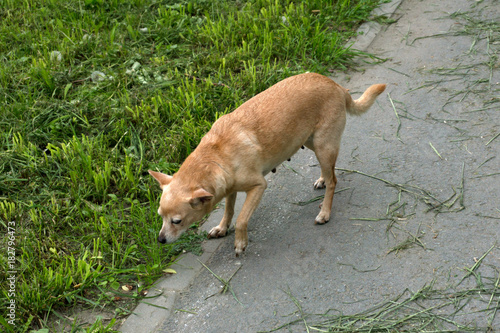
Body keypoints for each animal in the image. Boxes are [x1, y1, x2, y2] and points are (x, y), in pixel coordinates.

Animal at [149, 72, 386, 254]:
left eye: (177, 221)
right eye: (160, 217)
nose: (160, 240)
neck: (216, 156)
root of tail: (336, 85)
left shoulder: (258, 187)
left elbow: (242, 218)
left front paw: (240, 242)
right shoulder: (229, 189)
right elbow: (229, 211)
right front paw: (222, 228)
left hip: (323, 146)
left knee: (334, 180)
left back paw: (325, 212)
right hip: (311, 143)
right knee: (329, 173)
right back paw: (322, 180)